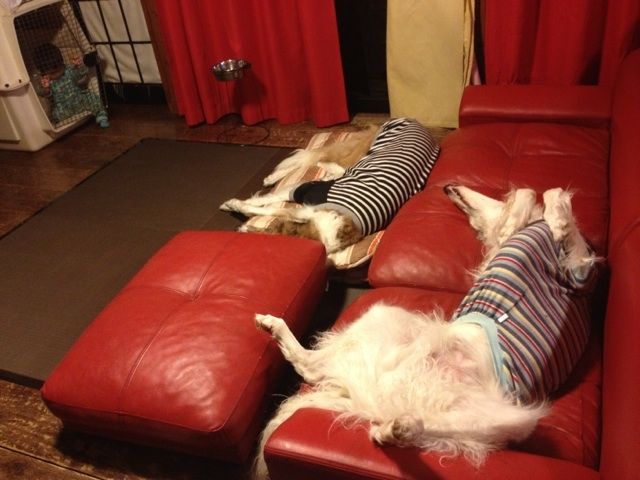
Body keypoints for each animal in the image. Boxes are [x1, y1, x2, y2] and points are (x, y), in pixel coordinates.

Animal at [220, 118, 440, 253]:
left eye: (264, 235)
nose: (236, 229)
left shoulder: (303, 197)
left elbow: (270, 207)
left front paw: (235, 205)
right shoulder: (304, 191)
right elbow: (269, 201)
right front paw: (232, 204)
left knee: (317, 161)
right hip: (359, 152)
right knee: (316, 158)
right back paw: (273, 177)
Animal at [251, 185, 598, 479]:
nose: (448, 188)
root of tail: (371, 400)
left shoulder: (579, 270)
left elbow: (540, 203)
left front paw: (552, 213)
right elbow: (532, 199)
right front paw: (546, 210)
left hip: (502, 418)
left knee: (316, 371)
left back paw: (394, 429)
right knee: (311, 367)